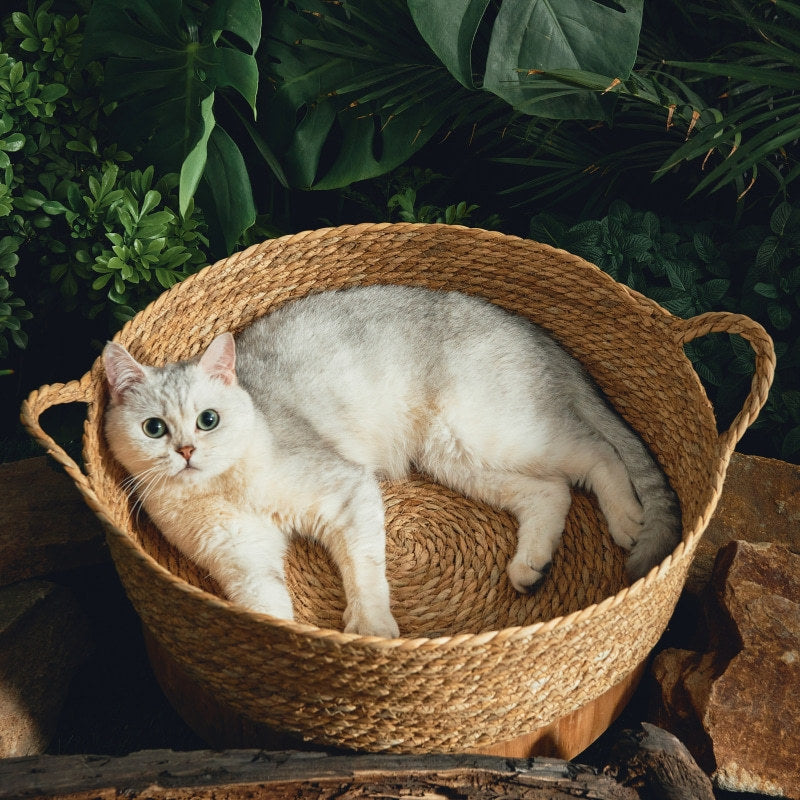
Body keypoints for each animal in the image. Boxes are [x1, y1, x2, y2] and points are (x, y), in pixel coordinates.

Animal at [101, 286, 680, 636]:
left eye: (208, 420)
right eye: (154, 428)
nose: (186, 452)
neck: (224, 485)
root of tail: (529, 328)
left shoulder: (348, 493)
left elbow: (365, 571)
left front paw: (371, 629)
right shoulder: (243, 560)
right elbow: (269, 608)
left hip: (496, 432)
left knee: (598, 451)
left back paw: (628, 520)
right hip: (457, 456)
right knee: (552, 490)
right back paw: (530, 567)